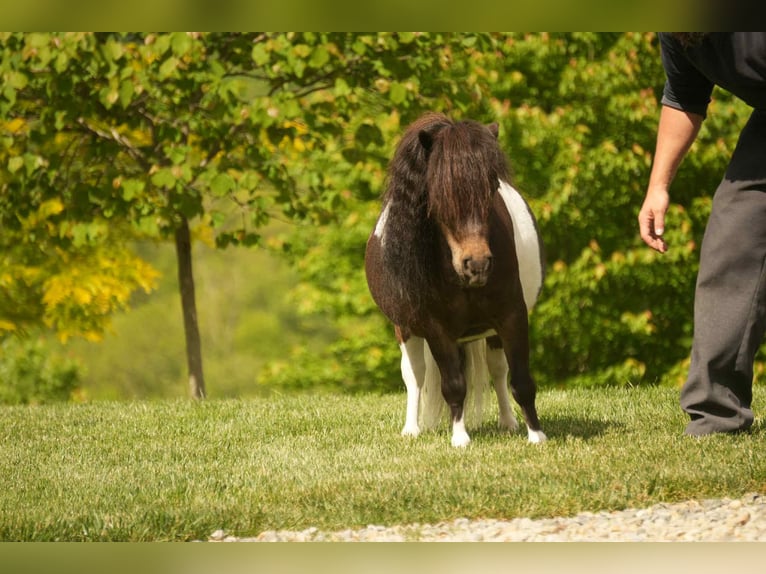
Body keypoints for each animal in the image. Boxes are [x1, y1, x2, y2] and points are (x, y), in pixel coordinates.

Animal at [364, 112, 546, 447]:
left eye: (492, 186)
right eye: (437, 193)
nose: (477, 264)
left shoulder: (512, 315)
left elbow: (520, 379)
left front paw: (537, 436)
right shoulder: (437, 330)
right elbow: (452, 384)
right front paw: (460, 438)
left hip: (490, 331)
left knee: (497, 370)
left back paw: (508, 422)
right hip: (405, 330)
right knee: (415, 375)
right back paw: (411, 429)